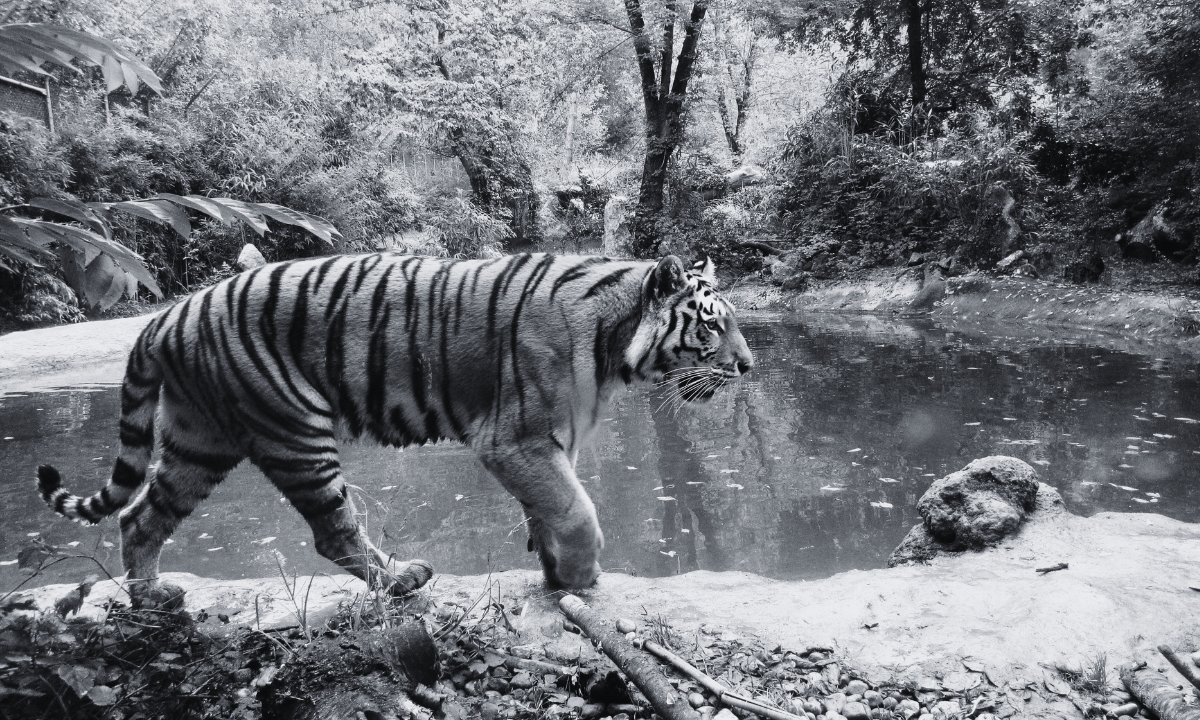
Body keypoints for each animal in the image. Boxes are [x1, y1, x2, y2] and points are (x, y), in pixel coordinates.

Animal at [35, 253, 748, 607]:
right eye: (712, 324)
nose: (749, 366)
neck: (613, 341)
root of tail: (165, 317)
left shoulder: (547, 444)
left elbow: (550, 509)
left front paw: (552, 570)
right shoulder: (515, 438)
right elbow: (576, 510)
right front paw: (579, 578)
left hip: (197, 440)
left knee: (140, 517)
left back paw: (151, 596)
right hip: (295, 431)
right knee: (333, 532)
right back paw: (402, 580)